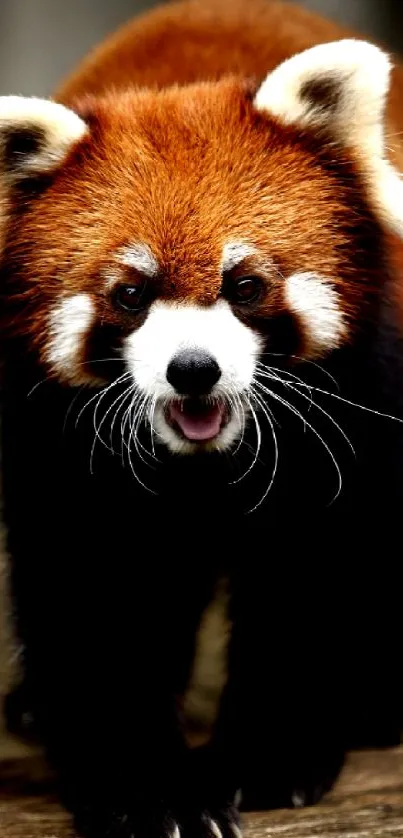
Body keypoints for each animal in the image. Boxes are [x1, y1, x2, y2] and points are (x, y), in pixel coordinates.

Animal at [0, 0, 403, 836]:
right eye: (130, 294)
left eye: (243, 285)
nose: (193, 369)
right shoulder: (55, 436)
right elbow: (92, 592)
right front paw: (146, 792)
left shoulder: (351, 400)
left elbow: (311, 578)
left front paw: (265, 762)